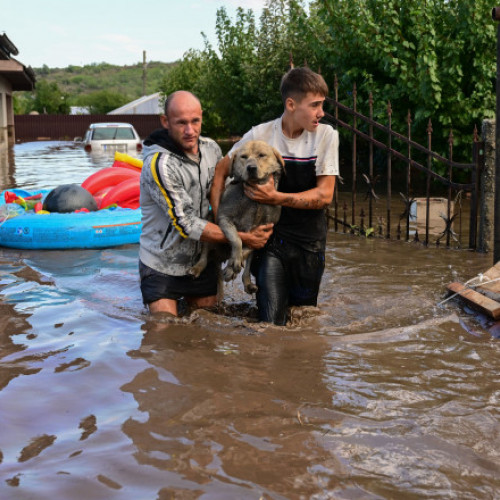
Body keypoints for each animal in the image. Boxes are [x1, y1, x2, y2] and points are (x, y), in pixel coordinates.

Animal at [190, 139, 286, 294]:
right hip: (208, 223)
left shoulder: (265, 232)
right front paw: (233, 263)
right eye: (244, 157)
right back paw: (198, 268)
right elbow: (237, 239)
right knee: (204, 254)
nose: (251, 168)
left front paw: (232, 267)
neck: (254, 198)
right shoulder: (224, 218)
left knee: (247, 268)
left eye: (261, 155)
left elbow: (247, 250)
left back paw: (247, 282)